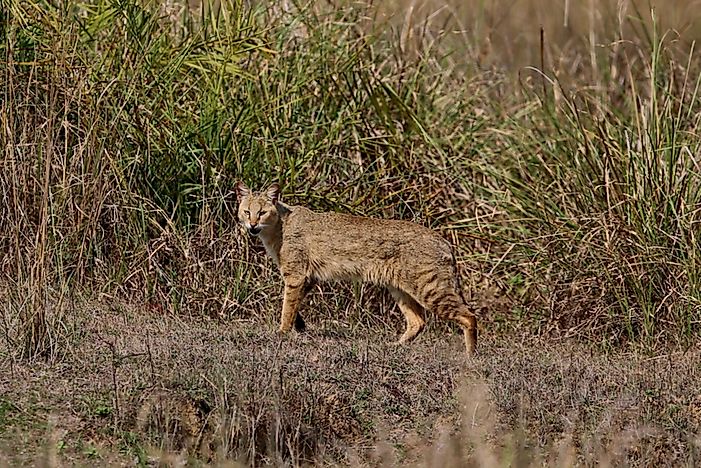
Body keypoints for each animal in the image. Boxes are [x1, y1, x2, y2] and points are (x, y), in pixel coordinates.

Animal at [235, 182, 476, 354]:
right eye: (247, 212)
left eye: (262, 212)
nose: (252, 225)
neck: (278, 228)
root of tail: (444, 241)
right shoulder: (307, 278)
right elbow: (295, 307)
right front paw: (299, 327)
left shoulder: (295, 275)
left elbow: (287, 307)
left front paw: (283, 332)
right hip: (401, 291)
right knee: (418, 322)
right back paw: (395, 347)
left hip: (430, 290)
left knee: (469, 316)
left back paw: (470, 356)